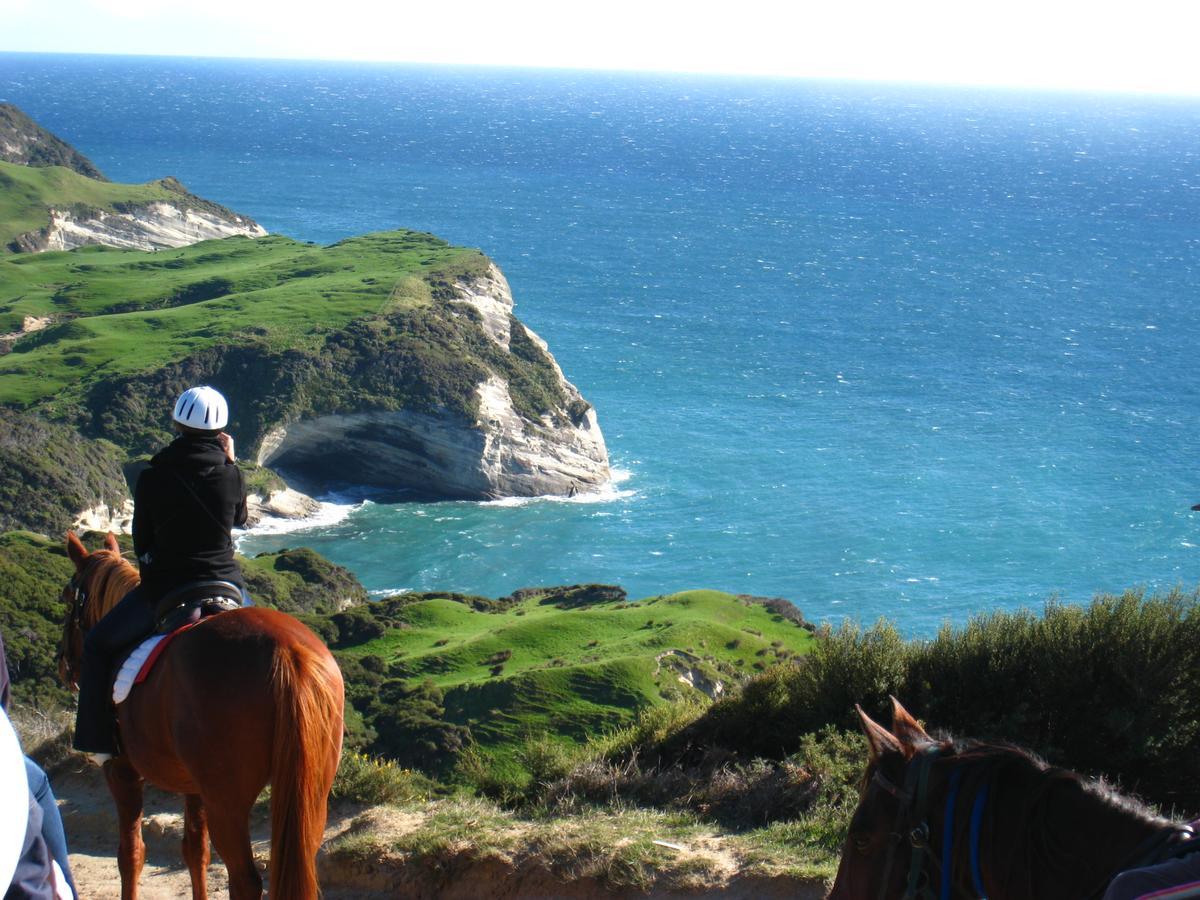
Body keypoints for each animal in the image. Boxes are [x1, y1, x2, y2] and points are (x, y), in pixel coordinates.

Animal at [58, 535, 345, 900]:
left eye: (69, 598)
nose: (62, 663)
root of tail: (285, 651)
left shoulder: (122, 773)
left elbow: (131, 853)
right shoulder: (193, 786)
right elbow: (195, 851)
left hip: (227, 801)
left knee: (245, 880)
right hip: (310, 791)